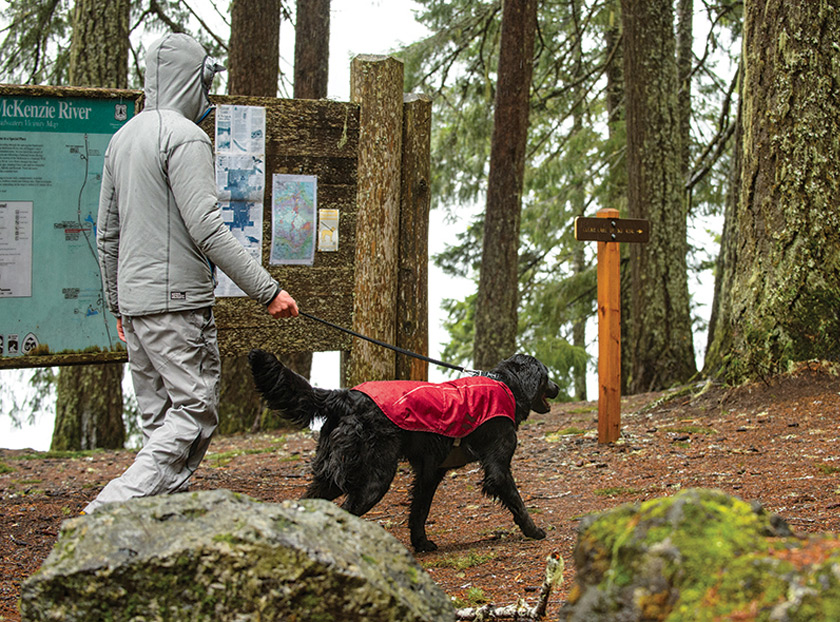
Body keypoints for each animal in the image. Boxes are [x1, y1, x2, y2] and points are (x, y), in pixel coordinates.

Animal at [246, 352, 556, 556]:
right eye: (547, 376)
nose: (558, 387)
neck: (507, 385)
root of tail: (346, 396)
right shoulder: (498, 467)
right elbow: (517, 501)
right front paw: (534, 531)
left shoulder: (430, 472)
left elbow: (419, 511)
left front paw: (421, 544)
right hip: (375, 478)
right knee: (346, 513)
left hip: (330, 476)